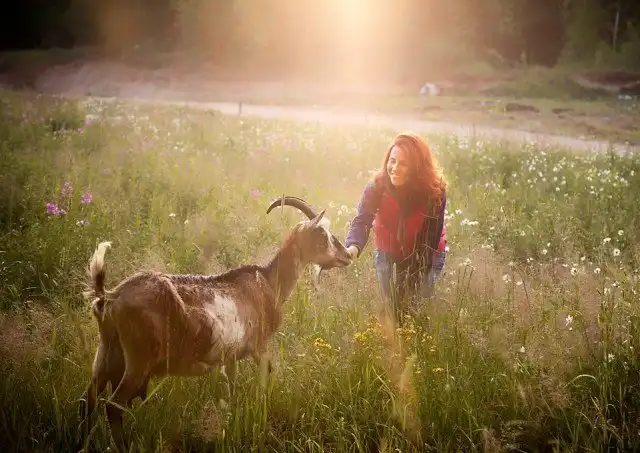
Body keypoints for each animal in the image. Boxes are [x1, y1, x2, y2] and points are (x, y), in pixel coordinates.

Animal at [78, 196, 352, 451]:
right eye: (322, 233)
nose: (347, 255)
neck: (268, 283)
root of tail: (110, 296)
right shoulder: (259, 347)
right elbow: (263, 384)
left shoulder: (230, 357)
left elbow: (232, 391)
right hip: (138, 359)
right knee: (113, 405)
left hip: (107, 352)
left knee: (87, 400)